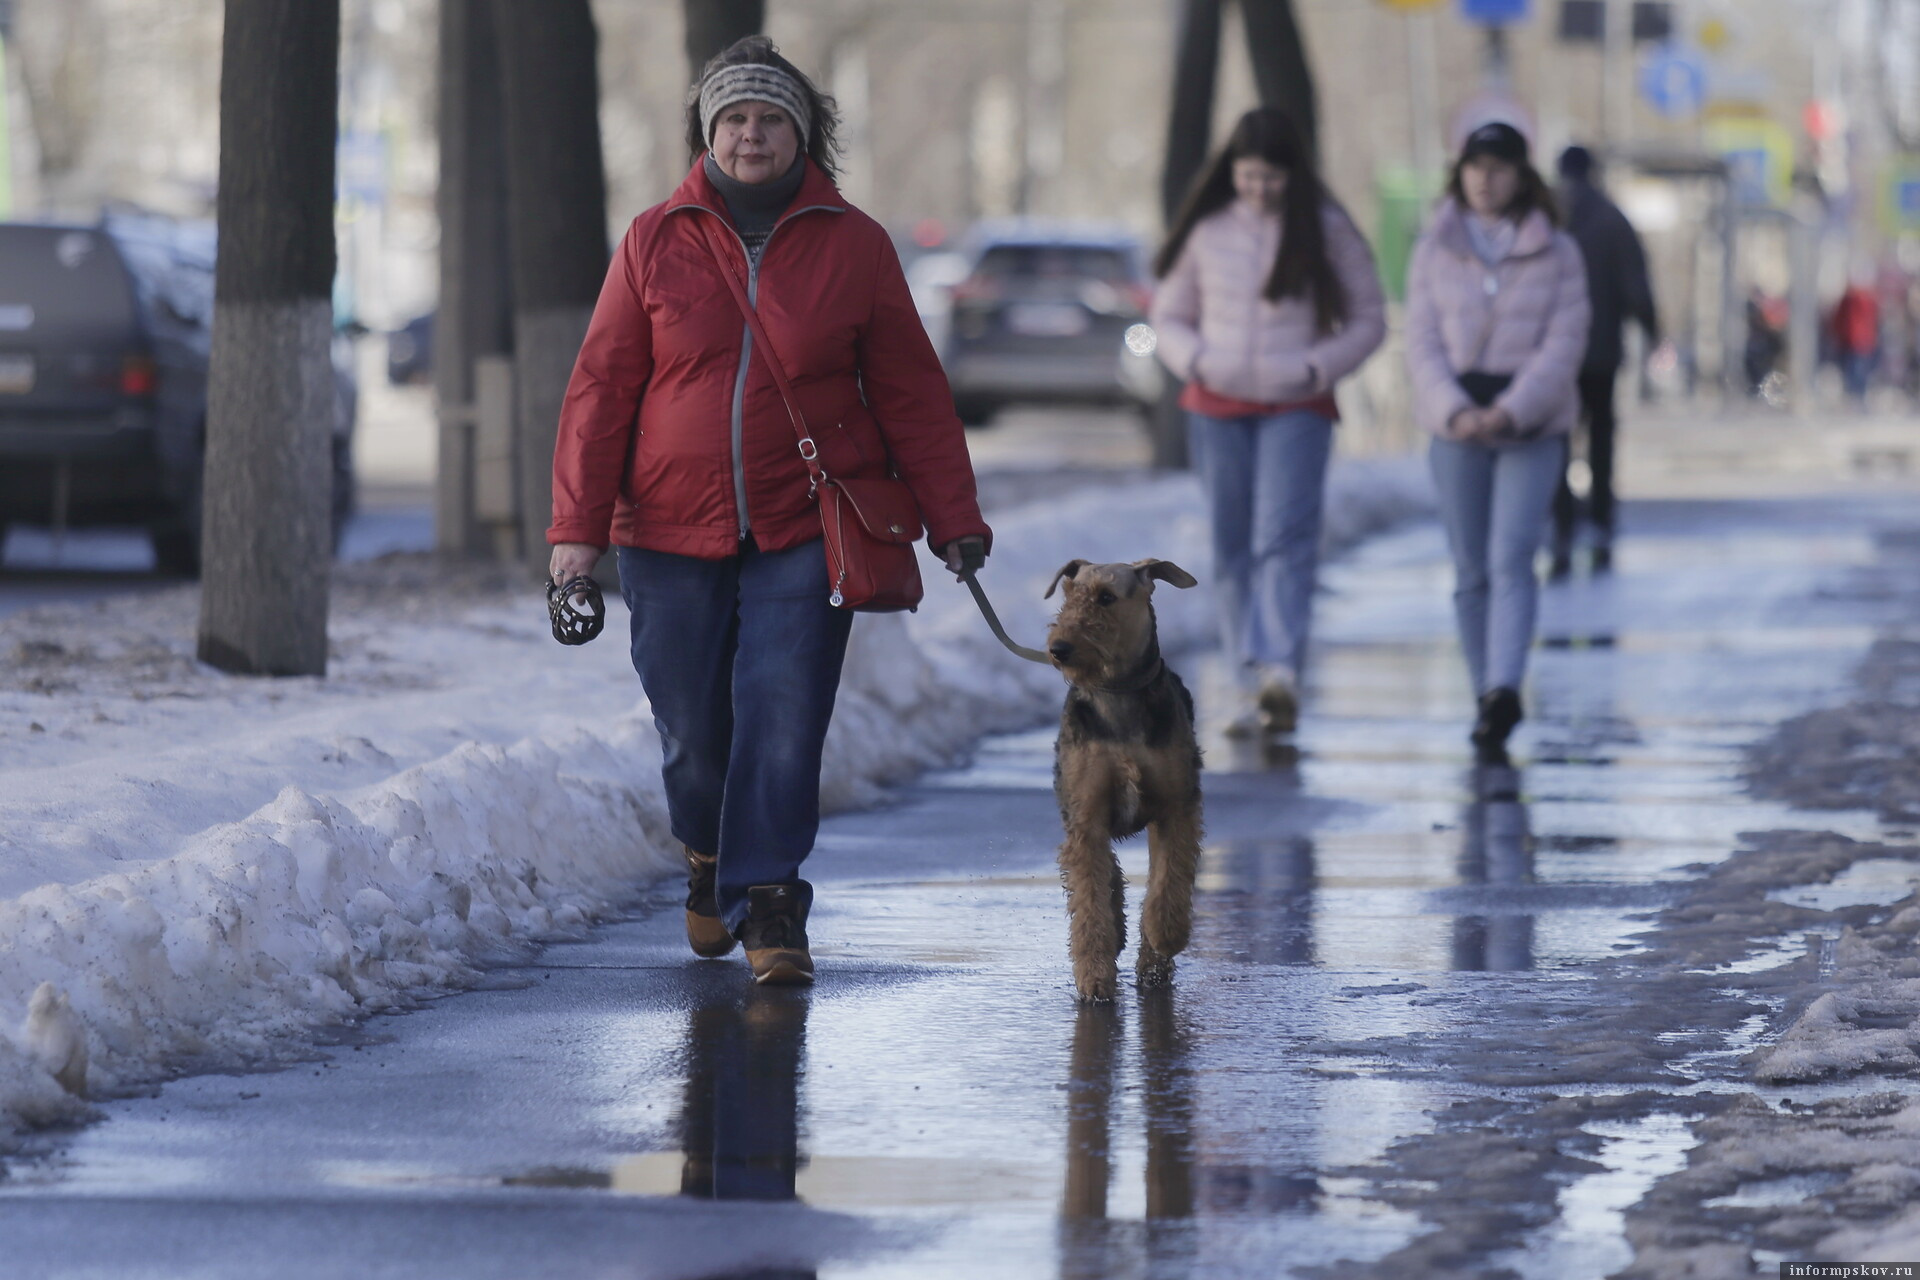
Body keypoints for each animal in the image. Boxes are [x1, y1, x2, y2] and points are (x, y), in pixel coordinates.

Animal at [1052, 556, 1198, 997]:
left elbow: (1168, 882)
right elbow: (1089, 898)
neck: (1116, 692)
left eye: (1106, 597)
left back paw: (1153, 964)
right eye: (1069, 593)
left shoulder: (1175, 808)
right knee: (1107, 876)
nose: (1059, 648)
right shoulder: (1086, 817)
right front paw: (1094, 977)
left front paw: (1167, 935)